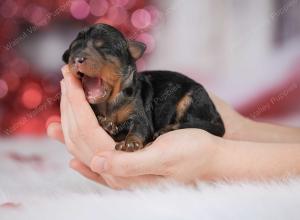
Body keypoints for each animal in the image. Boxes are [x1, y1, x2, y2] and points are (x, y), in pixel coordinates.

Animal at [61, 23, 225, 152]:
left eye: (104, 48)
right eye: (73, 50)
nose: (77, 59)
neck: (109, 103)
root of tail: (216, 114)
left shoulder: (139, 114)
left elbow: (139, 127)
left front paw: (131, 143)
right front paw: (106, 123)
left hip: (191, 99)